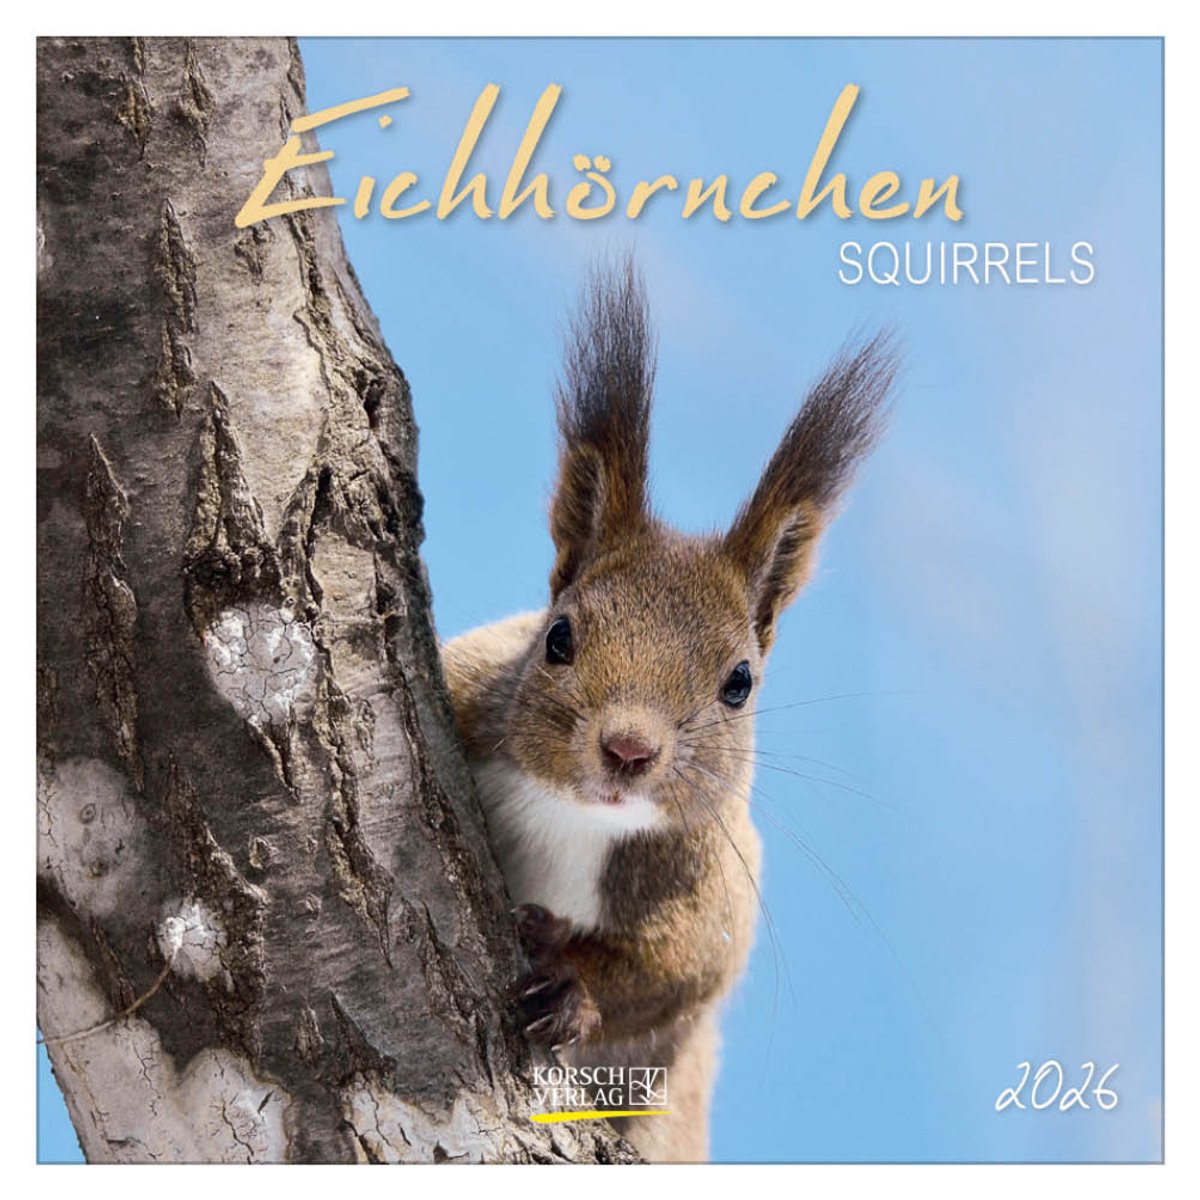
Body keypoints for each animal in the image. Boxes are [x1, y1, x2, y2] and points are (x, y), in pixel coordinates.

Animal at [441, 260, 895, 1162]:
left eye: (740, 683)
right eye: (558, 636)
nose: (626, 750)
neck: (578, 817)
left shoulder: (715, 889)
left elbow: (672, 977)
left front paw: (572, 982)